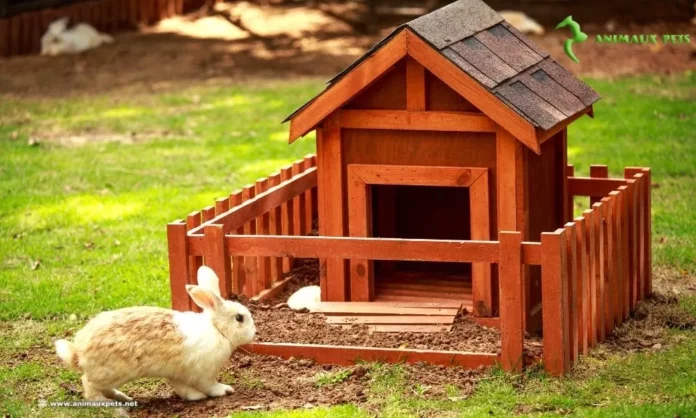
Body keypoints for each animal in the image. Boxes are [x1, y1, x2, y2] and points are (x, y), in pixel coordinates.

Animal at [54, 268, 256, 402]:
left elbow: (183, 389)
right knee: (89, 385)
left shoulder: (177, 374)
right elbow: (210, 386)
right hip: (108, 374)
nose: (254, 332)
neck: (217, 329)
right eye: (239, 318)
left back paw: (124, 398)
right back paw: (109, 402)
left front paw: (195, 397)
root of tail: (78, 354)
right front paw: (225, 390)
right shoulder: (202, 373)